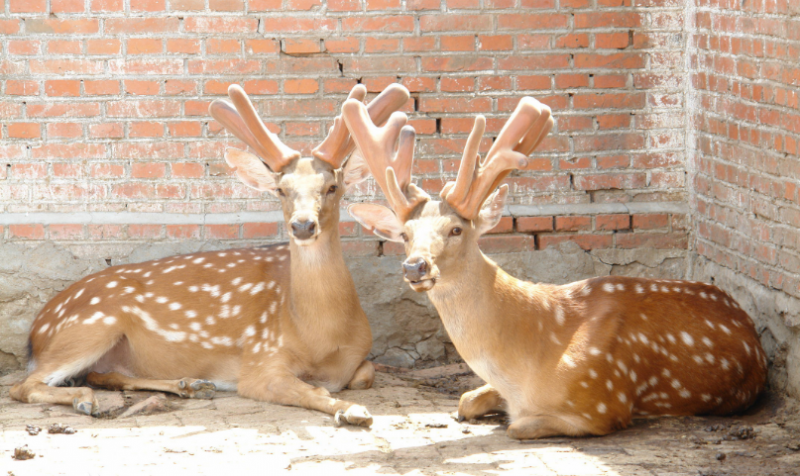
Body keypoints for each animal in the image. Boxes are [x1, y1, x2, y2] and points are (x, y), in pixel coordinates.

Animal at [10, 82, 412, 428]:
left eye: (332, 187)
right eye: (281, 189)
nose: (302, 226)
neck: (322, 337)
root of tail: (36, 330)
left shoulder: (357, 360)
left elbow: (365, 374)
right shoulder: (261, 359)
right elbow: (313, 390)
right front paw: (353, 411)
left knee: (104, 374)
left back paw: (190, 385)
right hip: (92, 324)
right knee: (23, 385)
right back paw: (85, 400)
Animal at [340, 96, 764, 438]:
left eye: (456, 229)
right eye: (405, 234)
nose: (415, 267)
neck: (530, 359)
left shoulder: (601, 405)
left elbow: (516, 427)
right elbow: (464, 401)